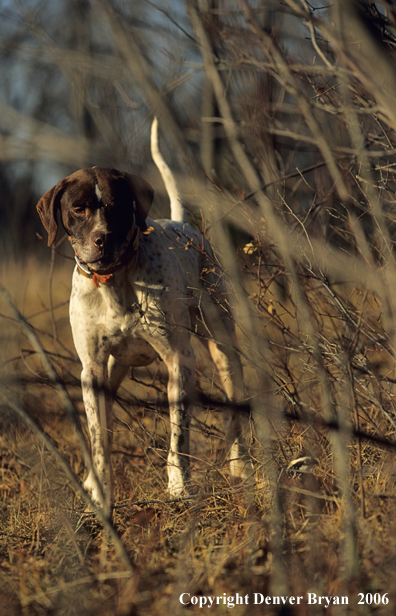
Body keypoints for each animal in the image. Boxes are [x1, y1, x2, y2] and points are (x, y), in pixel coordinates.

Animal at [36, 119, 248, 516]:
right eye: (79, 209)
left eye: (117, 206)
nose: (102, 239)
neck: (115, 282)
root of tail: (182, 223)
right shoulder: (92, 370)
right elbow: (100, 442)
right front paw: (100, 497)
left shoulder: (180, 361)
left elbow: (178, 438)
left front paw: (179, 488)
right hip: (114, 369)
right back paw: (89, 483)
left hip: (223, 347)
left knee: (233, 413)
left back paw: (240, 467)